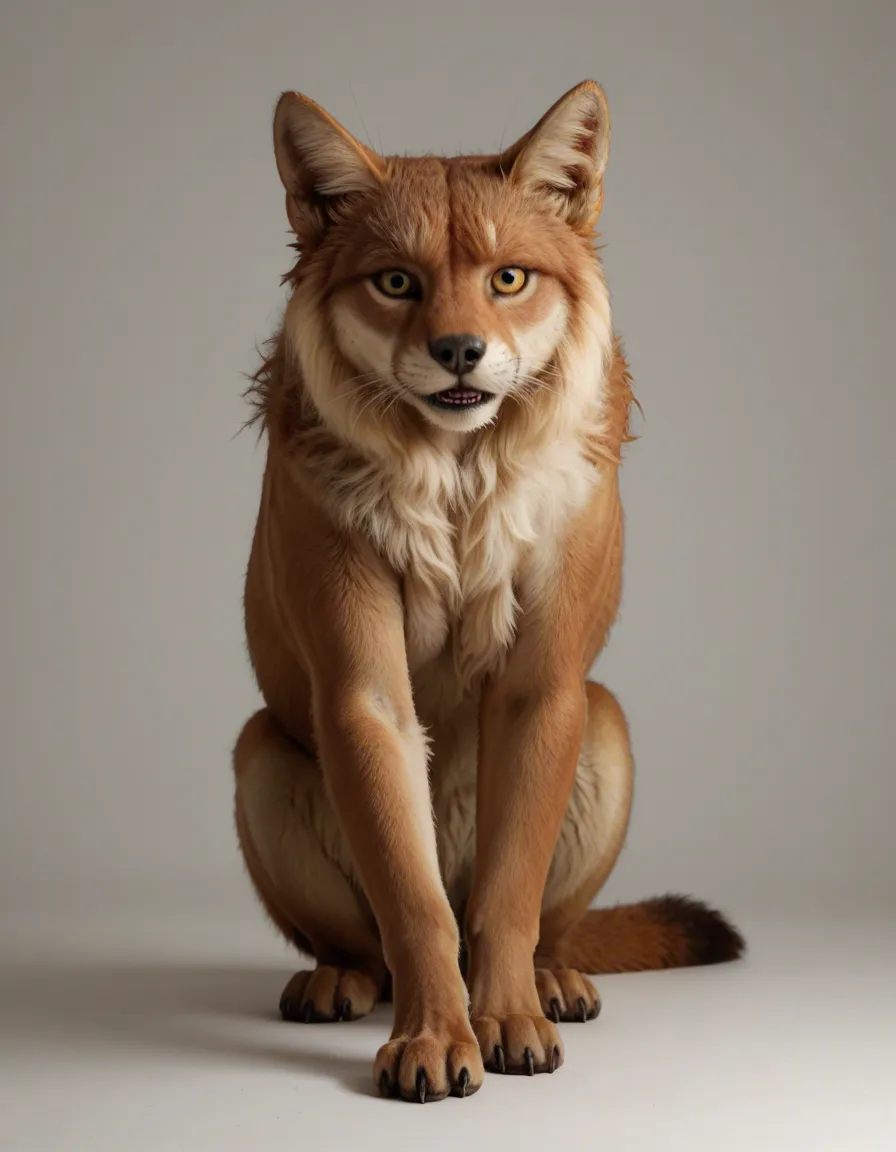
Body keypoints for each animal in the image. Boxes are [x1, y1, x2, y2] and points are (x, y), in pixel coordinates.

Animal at [233, 80, 744, 1104]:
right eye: (396, 282)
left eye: (509, 278)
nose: (460, 351)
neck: (458, 480)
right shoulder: (363, 698)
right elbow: (419, 906)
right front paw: (436, 1038)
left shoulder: (543, 691)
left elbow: (506, 901)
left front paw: (507, 1021)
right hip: (261, 753)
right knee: (367, 946)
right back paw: (338, 983)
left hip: (605, 725)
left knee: (548, 926)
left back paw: (553, 982)